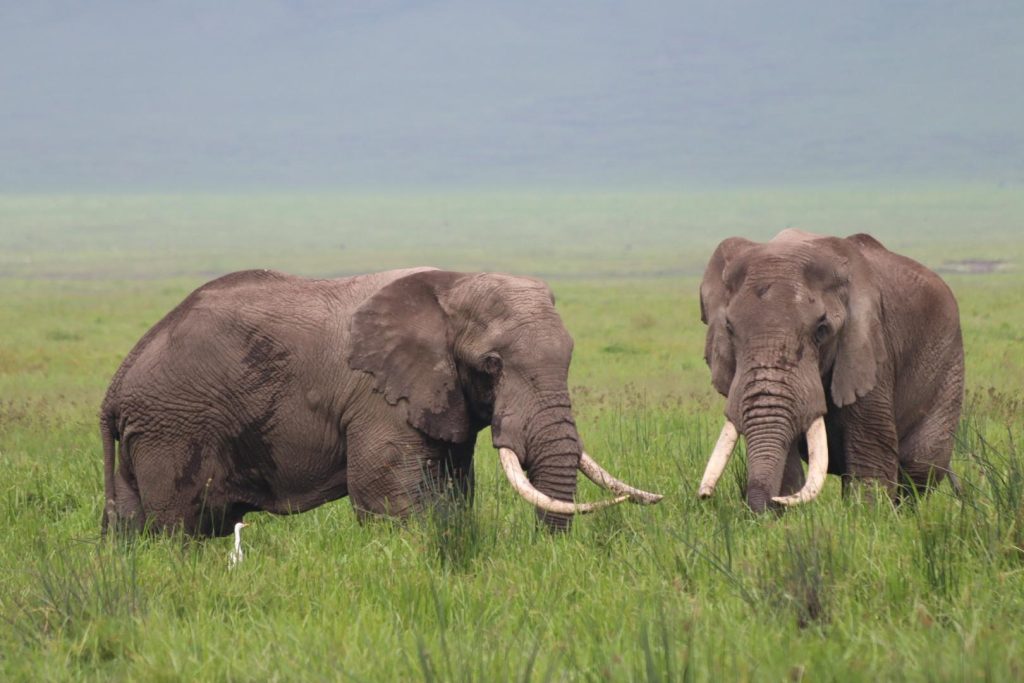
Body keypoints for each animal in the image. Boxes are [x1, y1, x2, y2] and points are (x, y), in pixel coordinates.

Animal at [100, 267, 661, 536]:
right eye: (492, 365)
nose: (547, 552)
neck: (452, 283)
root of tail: (118, 381)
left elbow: (453, 491)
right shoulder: (378, 397)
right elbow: (391, 497)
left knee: (135, 529)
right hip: (173, 428)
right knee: (176, 527)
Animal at [696, 230, 963, 511]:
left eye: (822, 329)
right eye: (729, 328)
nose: (704, 497)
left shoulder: (869, 348)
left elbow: (870, 452)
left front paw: (866, 515)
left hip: (949, 361)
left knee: (920, 465)